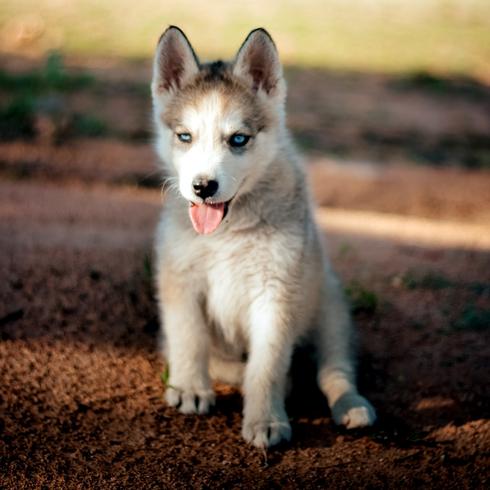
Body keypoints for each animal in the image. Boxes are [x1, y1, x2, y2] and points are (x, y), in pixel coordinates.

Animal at [152, 26, 376, 448]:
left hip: (329, 306)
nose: (203, 187)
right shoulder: (181, 281)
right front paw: (189, 388)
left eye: (238, 140)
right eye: (185, 136)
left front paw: (266, 420)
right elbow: (189, 339)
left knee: (333, 370)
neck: (228, 232)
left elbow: (267, 364)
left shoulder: (277, 294)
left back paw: (350, 404)